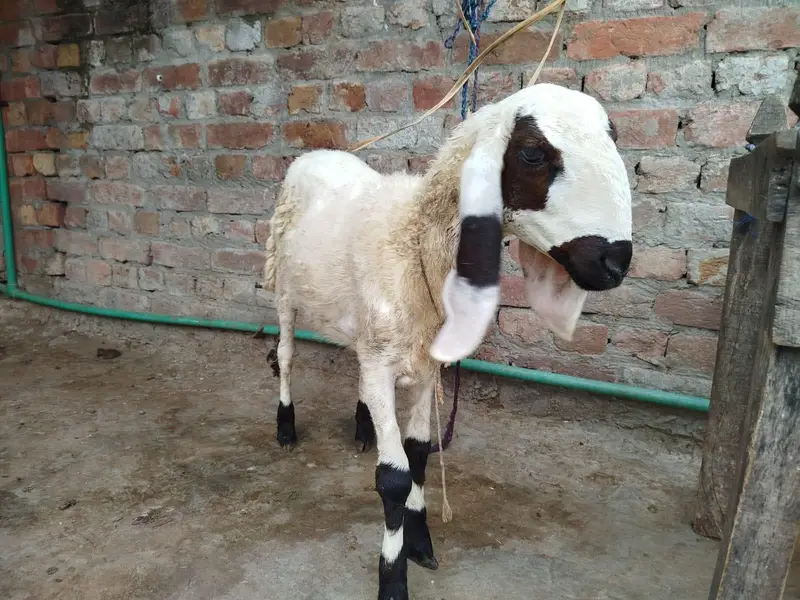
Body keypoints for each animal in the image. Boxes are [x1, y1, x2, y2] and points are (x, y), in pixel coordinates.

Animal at [262, 82, 632, 600]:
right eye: (532, 153)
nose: (616, 261)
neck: (415, 243)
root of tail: (318, 153)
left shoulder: (422, 362)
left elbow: (418, 455)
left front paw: (420, 543)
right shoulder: (386, 361)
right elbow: (394, 478)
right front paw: (393, 577)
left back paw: (362, 425)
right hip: (285, 290)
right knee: (287, 355)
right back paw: (286, 427)